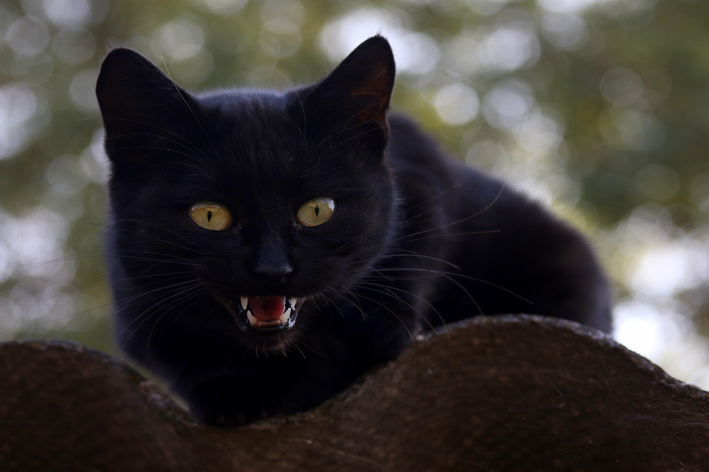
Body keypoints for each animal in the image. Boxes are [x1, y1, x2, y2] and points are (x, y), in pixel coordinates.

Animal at [97, 36, 612, 424]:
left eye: (317, 210)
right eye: (209, 215)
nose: (272, 270)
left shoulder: (422, 174)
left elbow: (418, 246)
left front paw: (373, 330)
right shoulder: (137, 317)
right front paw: (229, 391)